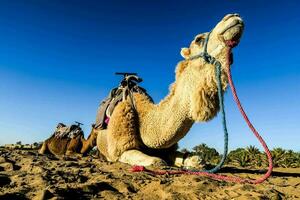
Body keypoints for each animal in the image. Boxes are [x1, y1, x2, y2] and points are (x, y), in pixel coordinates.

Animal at [96, 13, 244, 168]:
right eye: (198, 39)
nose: (233, 16)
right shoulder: (120, 148)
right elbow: (157, 161)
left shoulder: (168, 149)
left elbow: (195, 159)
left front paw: (191, 161)